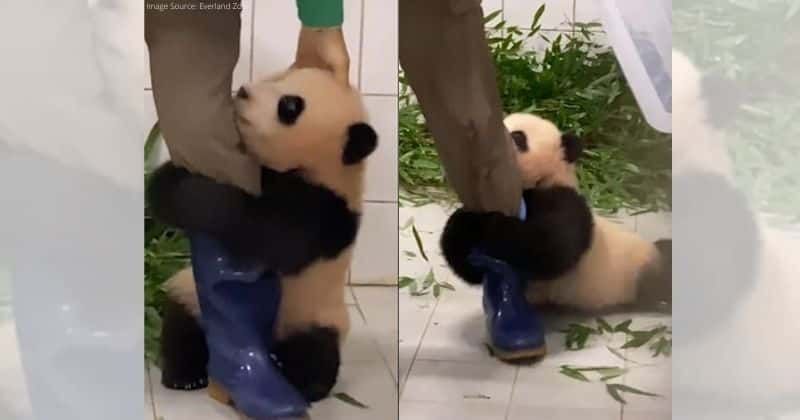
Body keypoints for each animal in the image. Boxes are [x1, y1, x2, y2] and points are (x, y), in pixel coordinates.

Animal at [147, 68, 378, 403]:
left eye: (290, 106)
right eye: (276, 76)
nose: (243, 91)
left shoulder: (326, 209)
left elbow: (272, 237)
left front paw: (199, 193)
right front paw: (169, 182)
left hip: (314, 314)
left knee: (315, 353)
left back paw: (296, 379)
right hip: (191, 293)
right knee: (182, 326)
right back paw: (186, 376)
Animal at [441, 112, 671, 312]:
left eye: (518, 137)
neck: (545, 179)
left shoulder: (565, 201)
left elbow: (550, 247)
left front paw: (491, 225)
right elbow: (472, 269)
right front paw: (466, 223)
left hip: (636, 272)